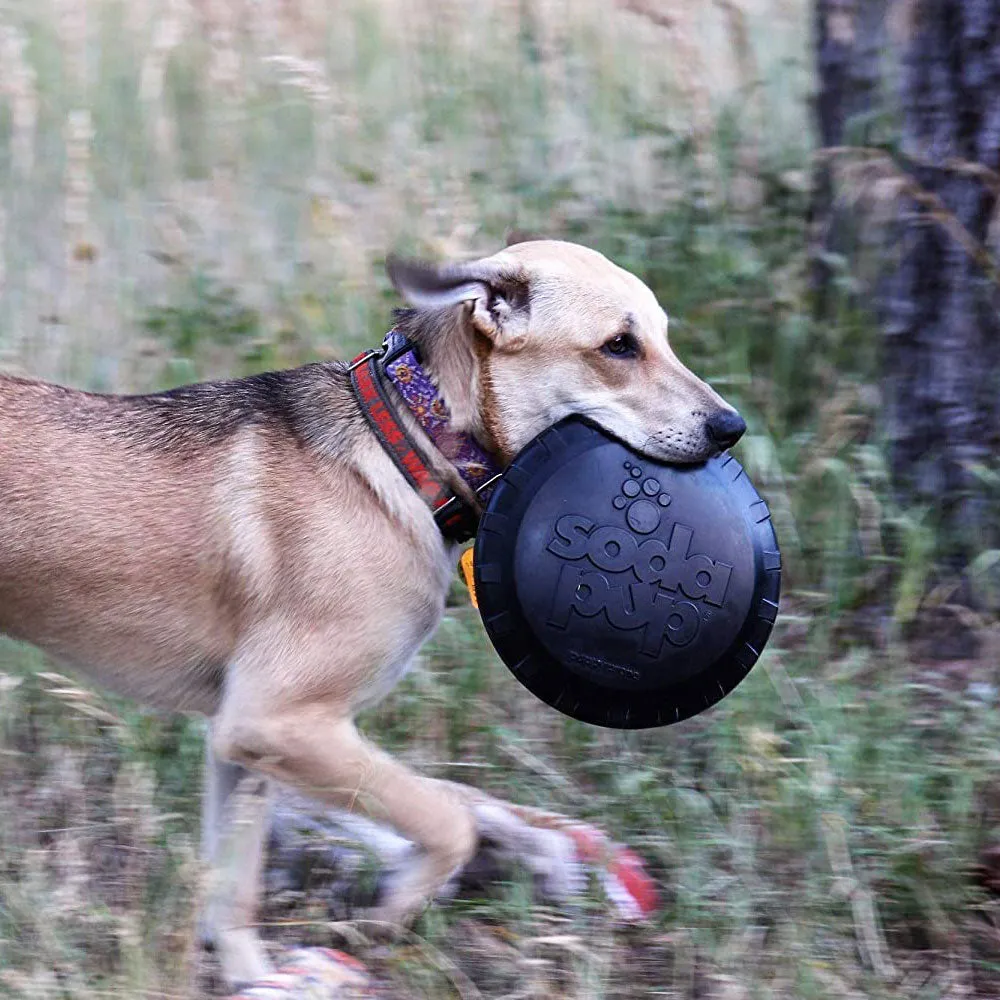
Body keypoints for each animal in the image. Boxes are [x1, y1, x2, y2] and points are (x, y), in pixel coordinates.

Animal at [0, 240, 744, 984]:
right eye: (619, 346)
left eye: (663, 337)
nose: (731, 428)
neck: (412, 447)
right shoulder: (280, 721)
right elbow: (447, 819)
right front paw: (391, 907)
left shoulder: (241, 742)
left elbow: (233, 888)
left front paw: (255, 976)